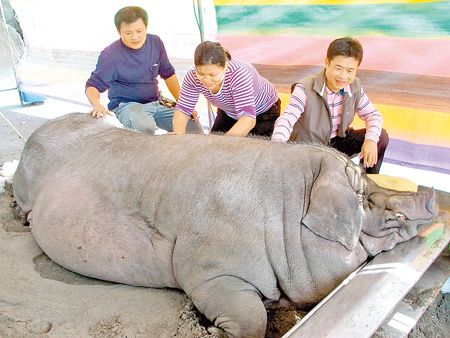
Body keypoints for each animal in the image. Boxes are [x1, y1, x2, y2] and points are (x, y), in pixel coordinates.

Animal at [13, 113, 436, 338]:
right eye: (368, 198)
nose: (431, 193)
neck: (284, 216)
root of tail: (39, 129)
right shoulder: (207, 267)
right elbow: (251, 320)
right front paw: (213, 330)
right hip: (25, 179)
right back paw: (19, 217)